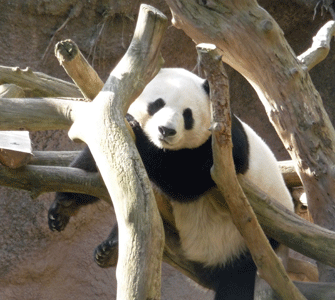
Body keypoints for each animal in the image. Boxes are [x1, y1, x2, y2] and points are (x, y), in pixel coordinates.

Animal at [48, 68, 294, 300]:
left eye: (188, 115)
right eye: (157, 104)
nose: (165, 130)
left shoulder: (224, 154)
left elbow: (183, 182)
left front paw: (137, 131)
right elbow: (102, 165)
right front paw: (64, 205)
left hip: (249, 242)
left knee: (236, 278)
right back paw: (109, 250)